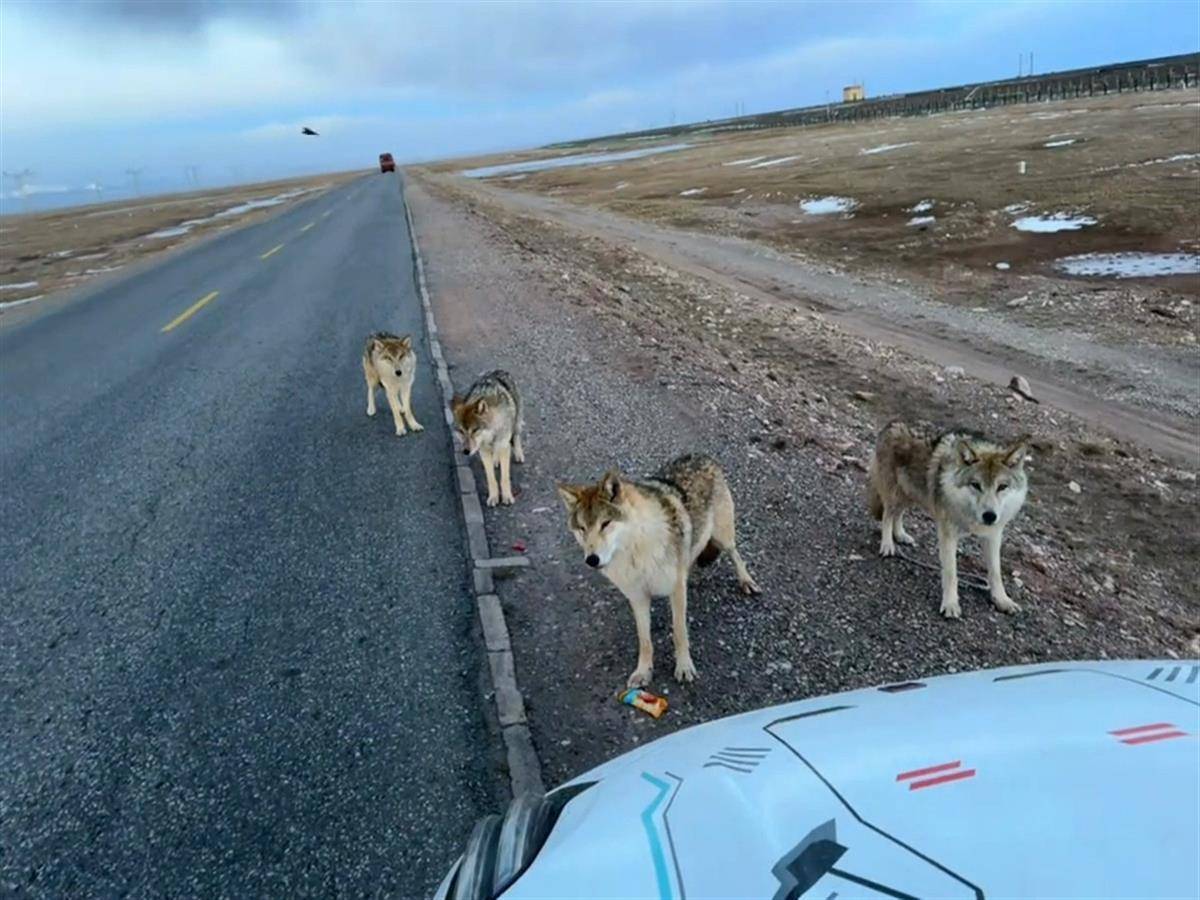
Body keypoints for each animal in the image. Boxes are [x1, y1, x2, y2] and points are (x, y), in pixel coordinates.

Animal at [451, 367, 523, 508]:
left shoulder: (504, 445)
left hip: (516, 422)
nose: (466, 451)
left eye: (474, 430)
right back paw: (496, 460)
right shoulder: (483, 451)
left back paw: (519, 455)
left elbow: (504, 478)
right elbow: (491, 479)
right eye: (461, 431)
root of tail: (498, 370)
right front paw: (493, 497)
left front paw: (507, 497)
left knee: (517, 436)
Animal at [554, 453, 758, 686]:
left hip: (723, 538)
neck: (635, 552)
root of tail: (699, 455)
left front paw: (684, 667)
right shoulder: (638, 597)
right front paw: (643, 672)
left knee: (736, 554)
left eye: (605, 524)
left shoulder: (675, 591)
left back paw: (746, 581)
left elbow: (679, 632)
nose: (591, 560)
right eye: (582, 528)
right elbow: (645, 640)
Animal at [868, 422, 1027, 619]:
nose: (989, 516)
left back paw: (901, 535)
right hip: (895, 494)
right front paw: (950, 605)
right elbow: (951, 573)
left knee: (899, 514)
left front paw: (1002, 600)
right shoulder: (948, 535)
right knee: (888, 515)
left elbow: (995, 572)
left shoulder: (993, 536)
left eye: (1002, 487)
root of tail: (893, 423)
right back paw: (888, 544)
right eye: (976, 485)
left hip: (911, 494)